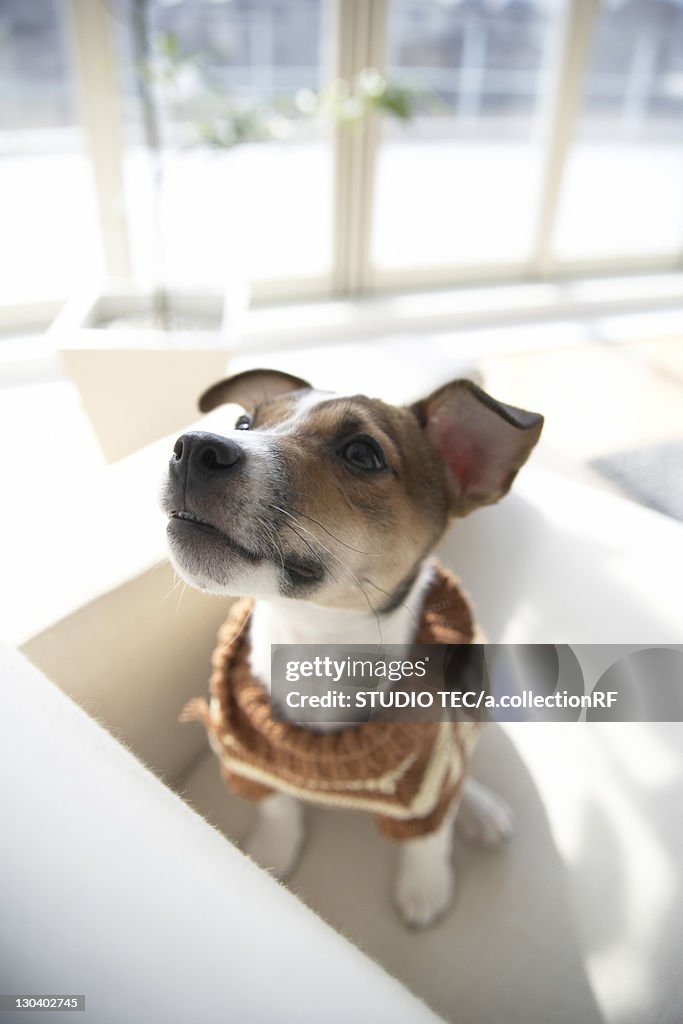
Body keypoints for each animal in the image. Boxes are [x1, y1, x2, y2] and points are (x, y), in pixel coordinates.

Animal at [161, 370, 544, 929]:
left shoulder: (429, 781)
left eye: (362, 453)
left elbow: (428, 838)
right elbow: (278, 807)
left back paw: (481, 809)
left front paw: (425, 891)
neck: (311, 646)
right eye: (245, 422)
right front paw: (272, 853)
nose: (192, 447)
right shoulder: (250, 761)